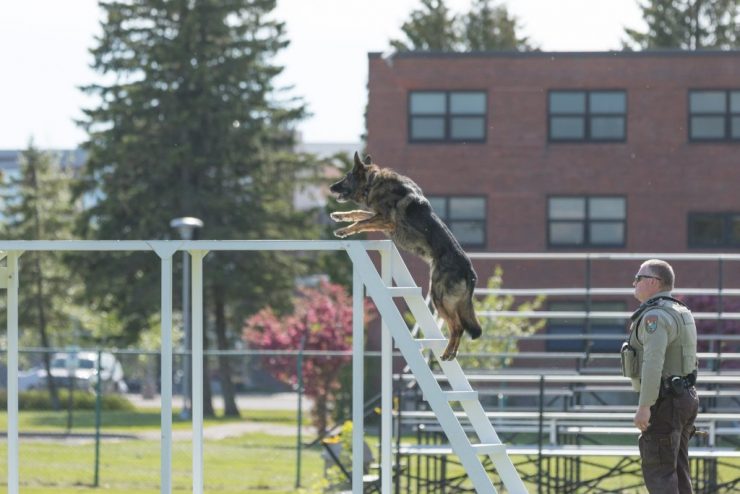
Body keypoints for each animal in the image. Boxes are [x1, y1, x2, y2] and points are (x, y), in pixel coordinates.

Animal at [328, 151, 480, 358]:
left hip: (439, 297)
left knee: (458, 326)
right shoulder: (378, 216)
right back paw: (452, 353)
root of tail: (469, 271)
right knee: (460, 326)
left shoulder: (386, 220)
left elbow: (362, 221)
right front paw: (340, 216)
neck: (372, 183)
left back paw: (447, 353)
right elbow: (359, 213)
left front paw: (344, 230)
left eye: (346, 176)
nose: (330, 186)